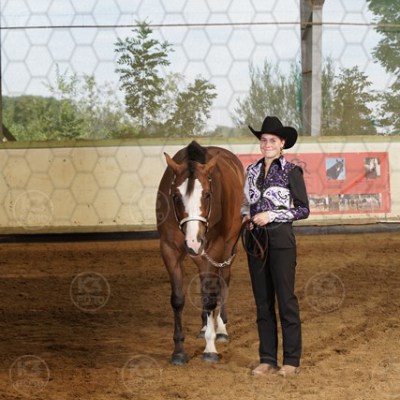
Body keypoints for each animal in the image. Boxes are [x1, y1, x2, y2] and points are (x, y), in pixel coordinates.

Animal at [156, 140, 245, 365]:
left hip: (228, 247)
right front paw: (179, 351)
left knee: (222, 282)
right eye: (175, 196)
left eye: (207, 194)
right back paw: (206, 326)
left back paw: (220, 329)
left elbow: (211, 296)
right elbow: (178, 299)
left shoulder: (216, 248)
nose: (194, 241)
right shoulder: (168, 250)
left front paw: (210, 348)